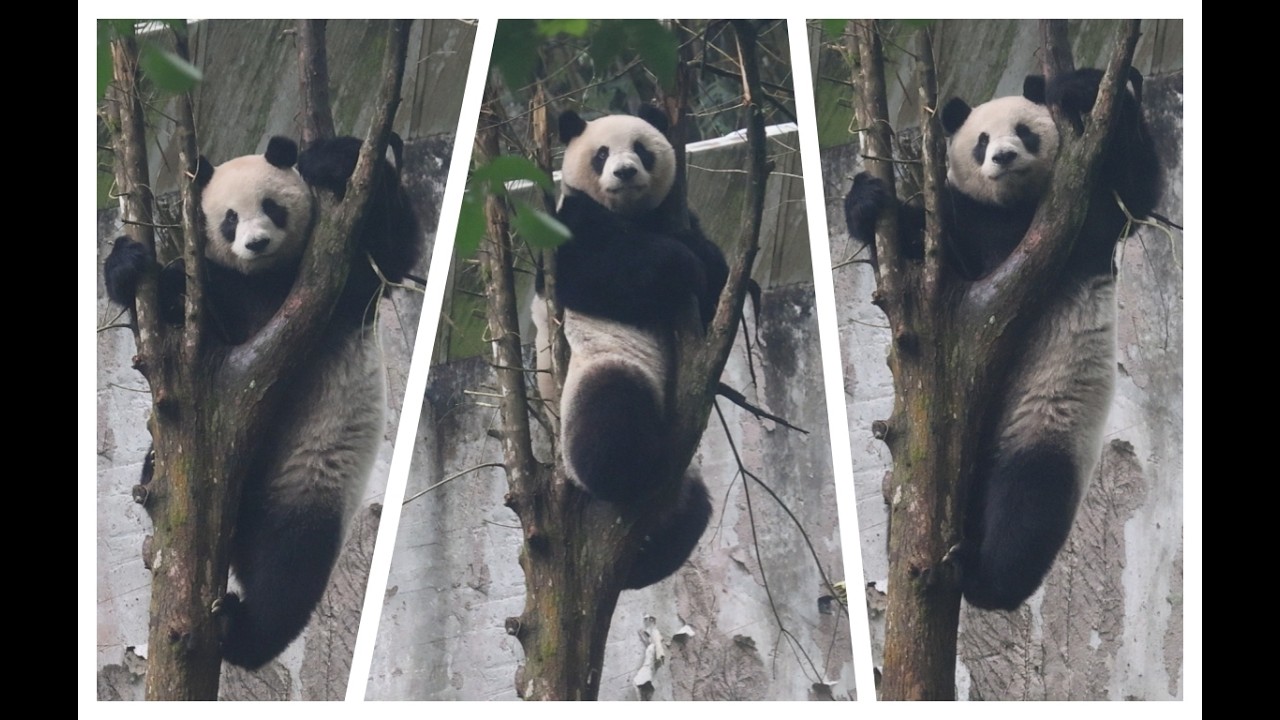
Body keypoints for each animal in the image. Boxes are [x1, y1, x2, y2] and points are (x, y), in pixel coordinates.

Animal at [103, 134, 420, 667]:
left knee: (287, 574)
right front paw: (127, 267)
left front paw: (334, 159)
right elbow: (171, 307)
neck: (265, 278)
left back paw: (239, 632)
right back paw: (153, 477)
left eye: (272, 207)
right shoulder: (221, 294)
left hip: (306, 485)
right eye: (229, 219)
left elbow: (394, 247)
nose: (255, 243)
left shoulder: (339, 280)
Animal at [532, 105, 728, 589]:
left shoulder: (676, 213)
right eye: (602, 154)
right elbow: (601, 272)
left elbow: (714, 293)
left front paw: (704, 257)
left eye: (641, 149)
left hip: (685, 491)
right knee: (611, 417)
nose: (624, 172)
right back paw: (635, 473)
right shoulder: (570, 226)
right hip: (595, 374)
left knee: (694, 510)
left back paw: (644, 559)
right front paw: (684, 262)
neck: (633, 216)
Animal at [844, 68, 1162, 610]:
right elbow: (920, 242)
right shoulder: (963, 223)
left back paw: (984, 579)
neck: (1014, 209)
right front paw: (866, 203)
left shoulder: (1086, 207)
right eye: (981, 141)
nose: (1005, 157)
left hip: (1045, 417)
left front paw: (1087, 88)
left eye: (1025, 131)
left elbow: (1138, 190)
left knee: (1028, 501)